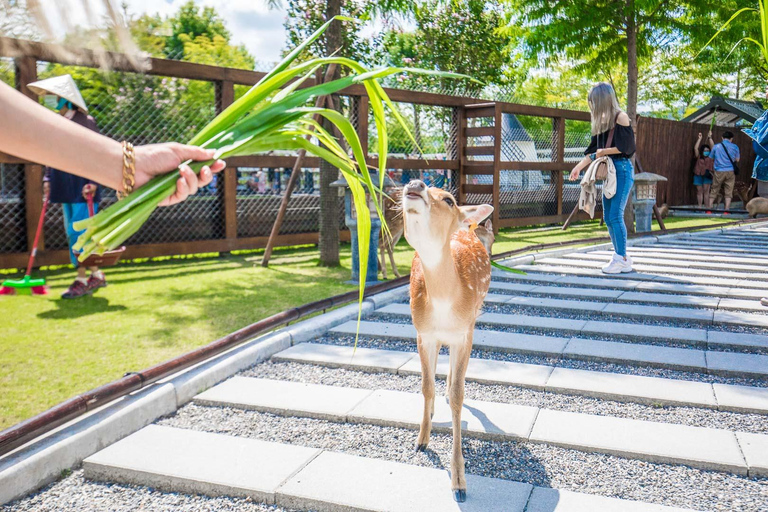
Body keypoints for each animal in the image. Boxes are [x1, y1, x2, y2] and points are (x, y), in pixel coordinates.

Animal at [400, 178, 496, 502]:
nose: (414, 183)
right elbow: (425, 384)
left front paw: (459, 482)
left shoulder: (464, 333)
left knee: (457, 378)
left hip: (474, 321)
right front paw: (421, 439)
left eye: (449, 200)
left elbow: (457, 395)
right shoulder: (422, 332)